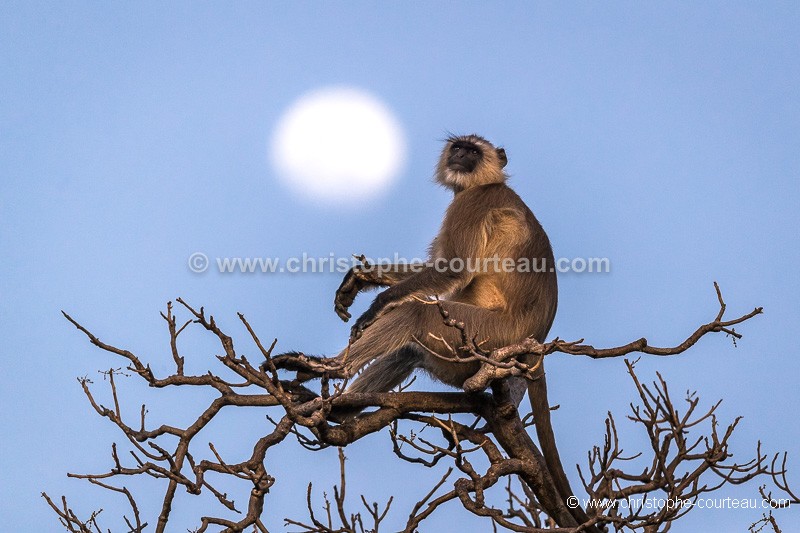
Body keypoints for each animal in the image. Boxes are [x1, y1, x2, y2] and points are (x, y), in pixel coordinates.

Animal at [332, 134, 580, 524]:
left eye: (473, 151)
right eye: (458, 147)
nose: (461, 155)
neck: (488, 183)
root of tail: (533, 343)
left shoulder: (473, 204)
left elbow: (451, 269)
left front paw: (377, 303)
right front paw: (361, 279)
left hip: (485, 336)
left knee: (415, 314)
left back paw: (321, 369)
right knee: (408, 348)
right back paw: (335, 408)